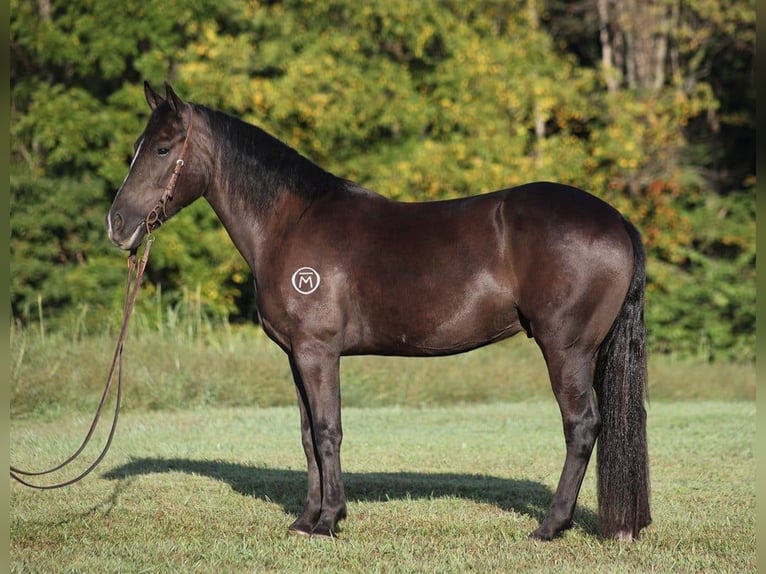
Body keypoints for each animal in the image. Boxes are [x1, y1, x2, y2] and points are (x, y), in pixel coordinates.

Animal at [106, 82, 650, 542]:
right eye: (137, 144)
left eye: (162, 148)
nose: (117, 225)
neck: (290, 223)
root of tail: (616, 220)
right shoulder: (295, 356)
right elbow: (307, 436)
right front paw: (305, 520)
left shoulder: (318, 352)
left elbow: (328, 432)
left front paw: (328, 521)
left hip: (567, 350)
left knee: (581, 426)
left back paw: (549, 527)